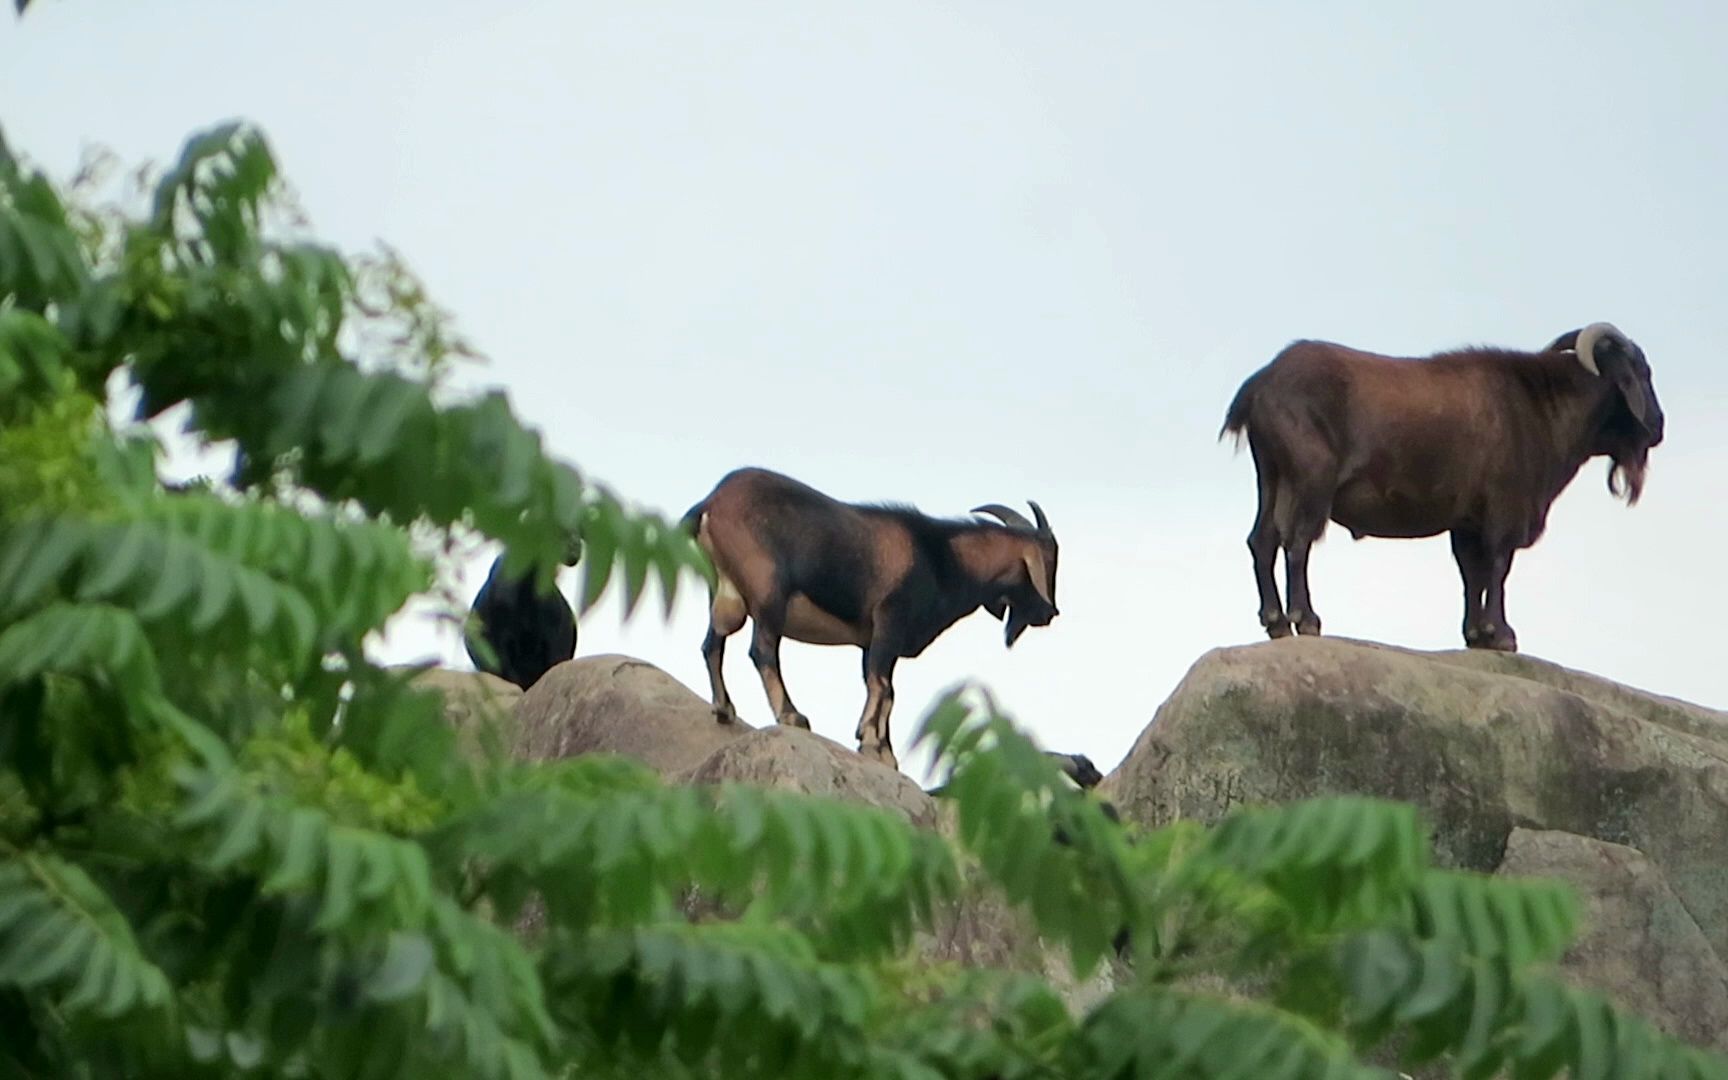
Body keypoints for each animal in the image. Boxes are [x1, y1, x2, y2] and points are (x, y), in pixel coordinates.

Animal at [680, 463, 1057, 767]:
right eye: (1048, 562)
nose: (1049, 613)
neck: (942, 556)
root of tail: (711, 503)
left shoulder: (871, 640)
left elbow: (878, 684)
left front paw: (882, 750)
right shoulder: (890, 619)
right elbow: (884, 687)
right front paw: (871, 741)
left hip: (725, 592)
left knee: (713, 643)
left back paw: (724, 709)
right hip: (769, 593)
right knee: (762, 651)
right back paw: (792, 716)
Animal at [1216, 321, 1658, 649]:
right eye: (1642, 373)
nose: (1657, 426)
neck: (1541, 407)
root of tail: (1260, 386)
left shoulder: (1467, 522)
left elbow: (1472, 574)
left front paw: (1477, 634)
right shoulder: (1504, 510)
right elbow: (1497, 567)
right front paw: (1502, 635)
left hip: (1272, 476)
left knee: (1263, 540)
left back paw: (1275, 622)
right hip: (1311, 479)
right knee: (1297, 542)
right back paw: (1305, 620)